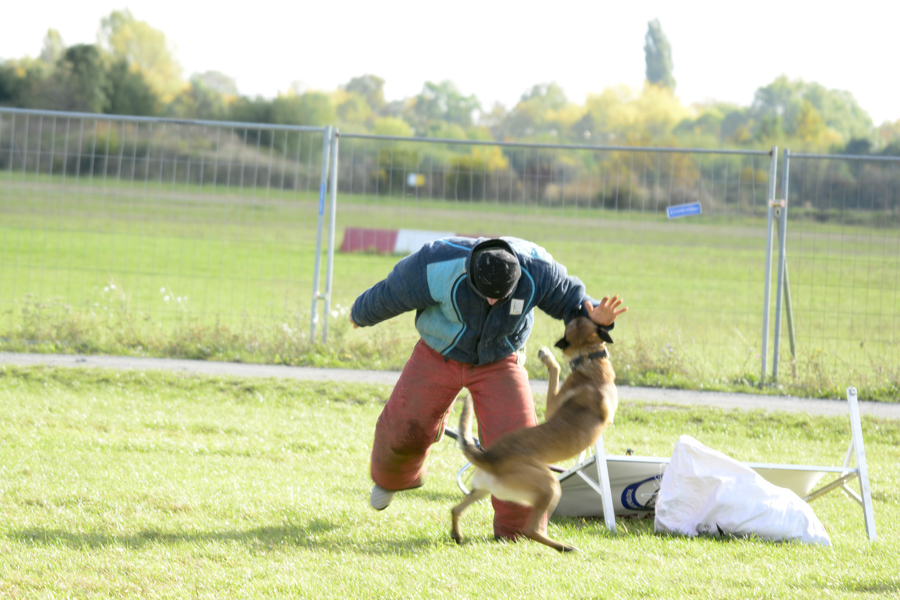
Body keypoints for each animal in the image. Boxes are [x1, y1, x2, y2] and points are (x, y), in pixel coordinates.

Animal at [450, 316, 619, 552]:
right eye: (576, 319)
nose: (577, 310)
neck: (589, 358)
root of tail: (490, 457)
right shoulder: (552, 407)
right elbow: (555, 370)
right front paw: (547, 357)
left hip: (482, 490)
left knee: (455, 509)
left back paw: (457, 535)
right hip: (550, 485)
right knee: (531, 530)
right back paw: (564, 547)